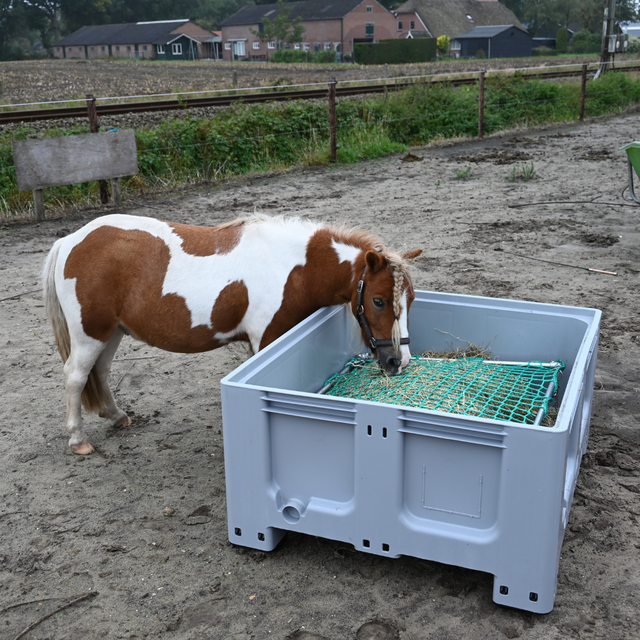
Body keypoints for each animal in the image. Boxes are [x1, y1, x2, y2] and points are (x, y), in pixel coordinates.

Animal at [42, 213, 422, 455]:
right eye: (377, 300)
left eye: (412, 299)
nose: (399, 361)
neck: (296, 269)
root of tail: (70, 241)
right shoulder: (266, 339)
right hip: (90, 334)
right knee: (76, 376)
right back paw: (78, 440)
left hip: (111, 332)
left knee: (101, 371)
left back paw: (117, 416)